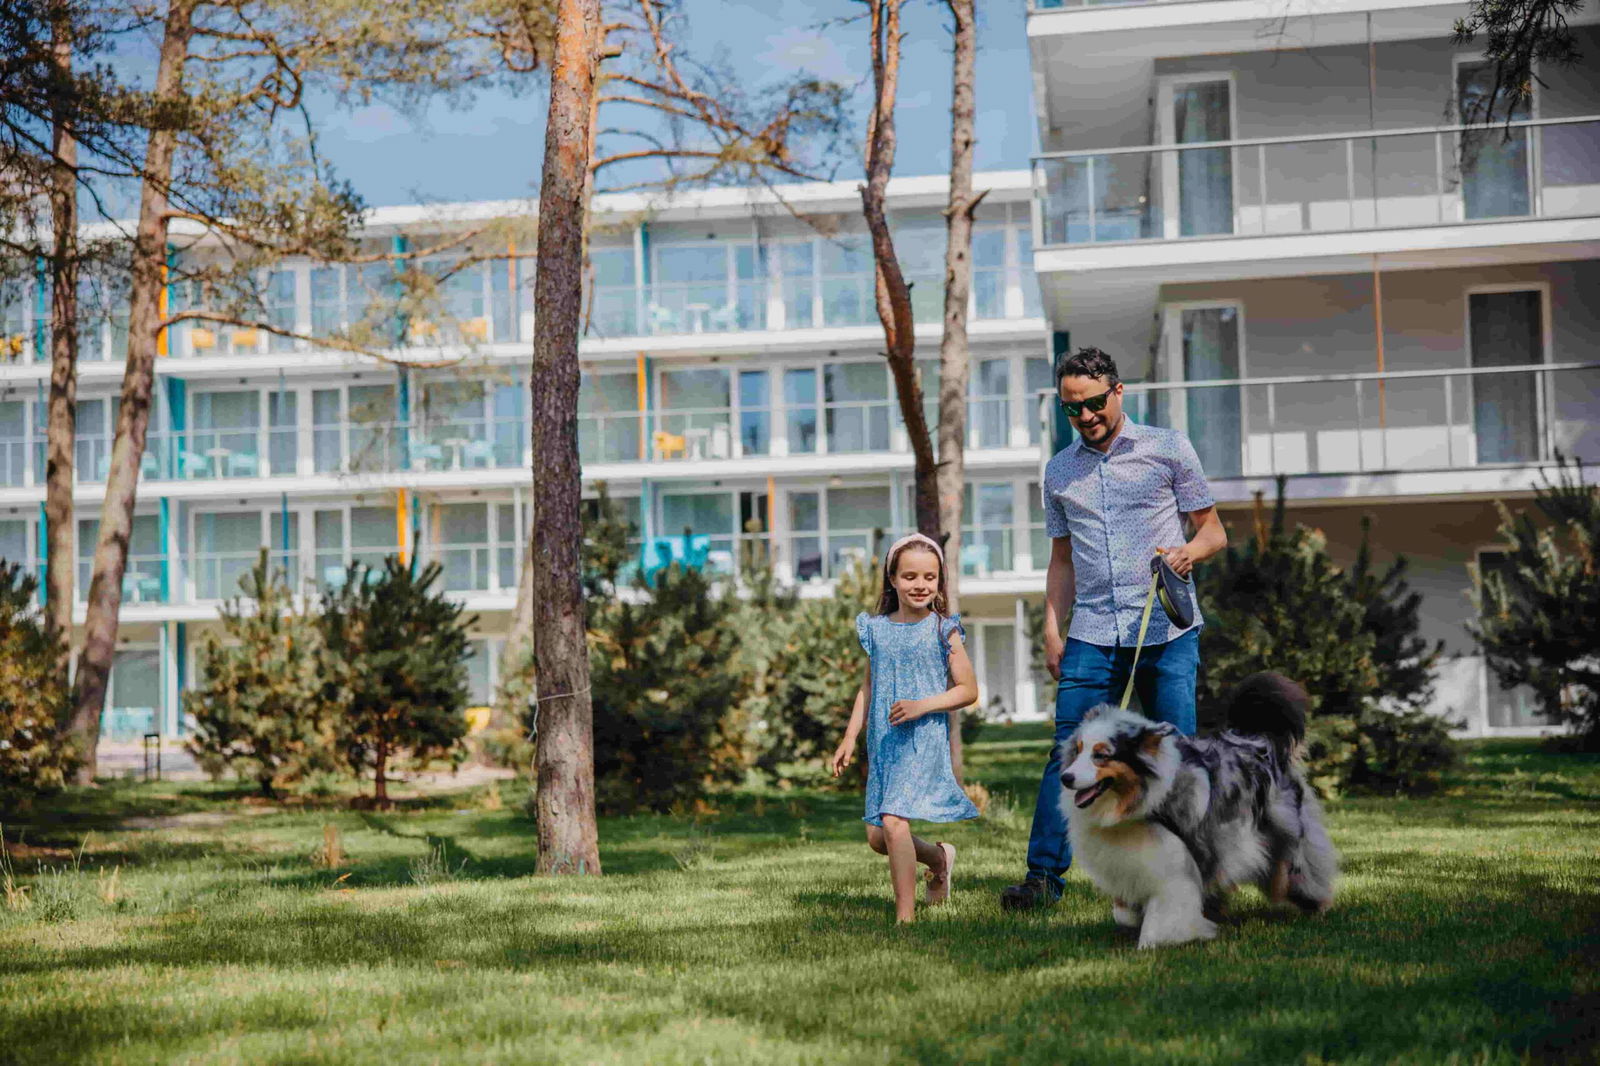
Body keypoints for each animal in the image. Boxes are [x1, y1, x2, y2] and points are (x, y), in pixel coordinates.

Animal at [1062, 672, 1337, 947]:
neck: (1140, 802)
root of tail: (1258, 741)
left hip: (1281, 842)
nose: (1066, 777)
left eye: (1101, 755)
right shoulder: (1128, 864)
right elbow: (1123, 912)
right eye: (1077, 751)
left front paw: (1156, 942)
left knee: (1299, 875)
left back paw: (1317, 907)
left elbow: (1164, 912)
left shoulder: (1174, 864)